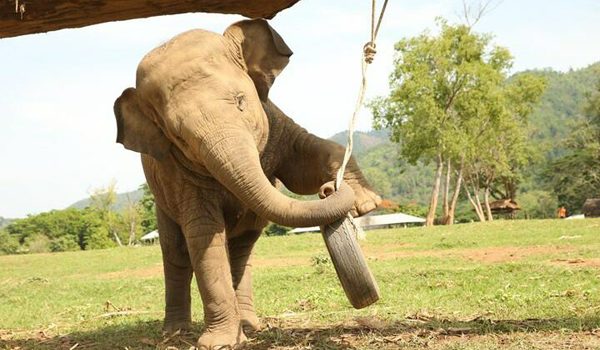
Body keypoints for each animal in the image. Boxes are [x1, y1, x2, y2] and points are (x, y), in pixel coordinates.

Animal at [113, 19, 380, 350]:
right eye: (178, 136)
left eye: (241, 101)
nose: (329, 189)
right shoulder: (177, 174)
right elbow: (204, 236)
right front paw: (218, 343)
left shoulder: (274, 120)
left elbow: (305, 161)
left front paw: (365, 202)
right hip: (162, 202)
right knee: (176, 252)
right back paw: (176, 332)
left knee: (243, 248)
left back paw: (249, 325)